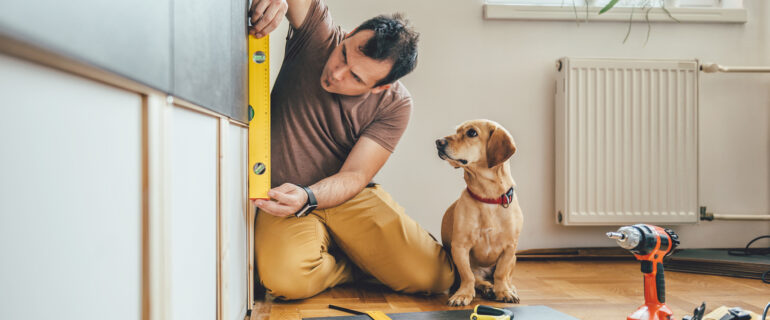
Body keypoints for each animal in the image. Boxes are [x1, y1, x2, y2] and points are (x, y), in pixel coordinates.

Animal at [432, 119, 520, 306]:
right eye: (457, 131)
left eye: (472, 133)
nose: (438, 142)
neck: (488, 198)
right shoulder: (460, 247)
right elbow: (468, 275)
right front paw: (463, 294)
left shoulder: (510, 248)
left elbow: (501, 273)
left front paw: (504, 291)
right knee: (479, 279)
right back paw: (487, 288)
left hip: (514, 258)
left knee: (504, 277)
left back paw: (506, 288)